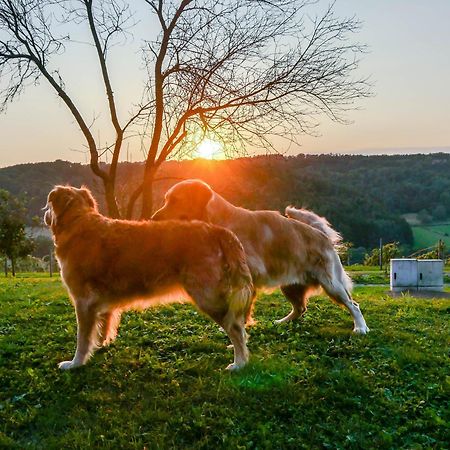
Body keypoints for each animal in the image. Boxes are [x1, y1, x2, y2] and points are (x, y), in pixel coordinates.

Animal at [44, 185, 255, 370]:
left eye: (48, 204)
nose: (44, 214)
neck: (79, 221)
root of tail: (216, 230)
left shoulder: (83, 301)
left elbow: (83, 338)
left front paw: (75, 363)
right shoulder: (100, 302)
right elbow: (103, 325)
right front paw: (102, 344)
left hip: (207, 296)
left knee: (235, 327)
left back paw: (240, 363)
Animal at [152, 180, 370, 334]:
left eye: (176, 200)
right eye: (166, 200)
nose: (153, 218)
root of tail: (321, 234)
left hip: (331, 284)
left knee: (353, 305)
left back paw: (360, 328)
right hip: (290, 285)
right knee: (300, 308)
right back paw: (281, 322)